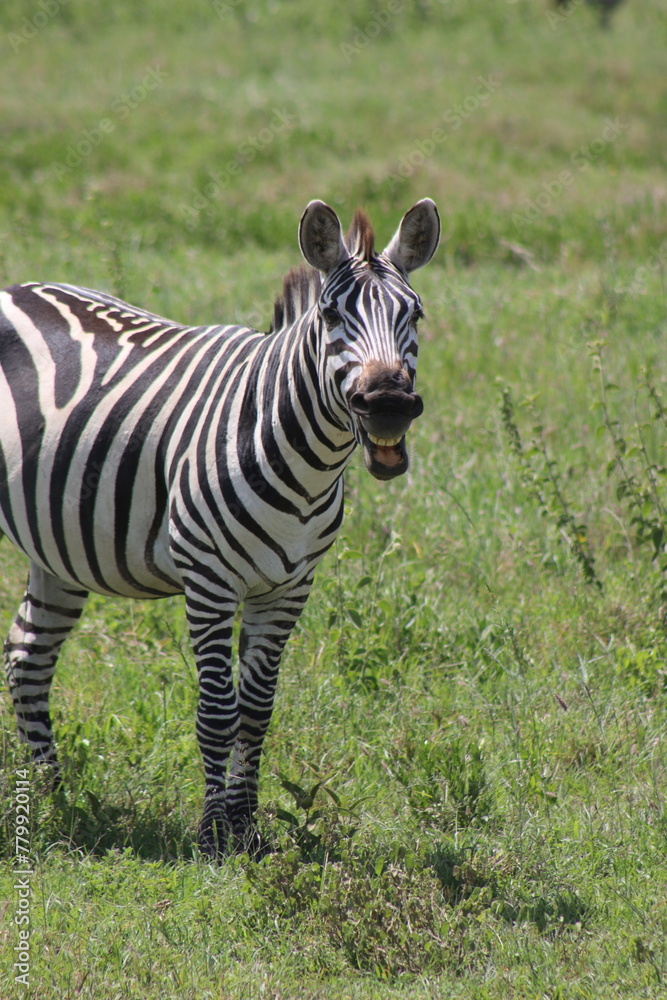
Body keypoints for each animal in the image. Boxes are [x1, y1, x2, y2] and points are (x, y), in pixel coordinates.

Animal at [1, 198, 440, 857]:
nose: (387, 406)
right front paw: (212, 835)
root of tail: (15, 287)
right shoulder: (210, 582)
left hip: (59, 544)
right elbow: (216, 710)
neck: (300, 458)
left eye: (413, 313)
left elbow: (256, 710)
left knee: (28, 658)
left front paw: (249, 827)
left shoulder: (288, 588)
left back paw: (52, 801)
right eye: (331, 315)